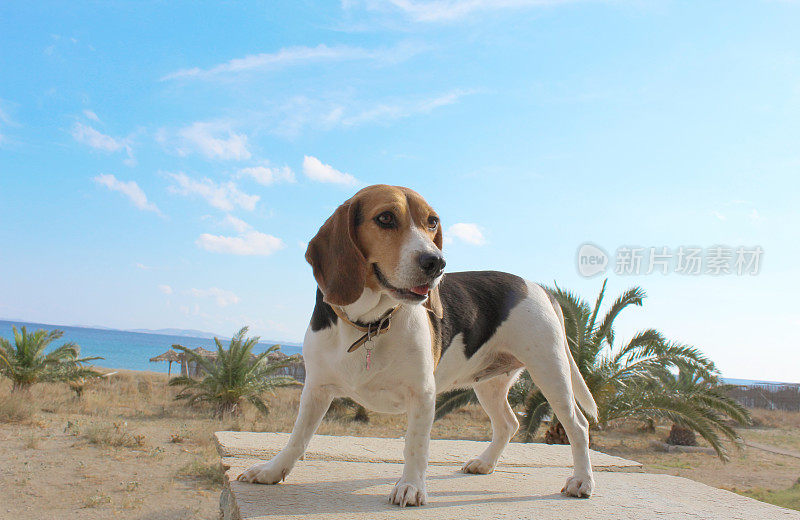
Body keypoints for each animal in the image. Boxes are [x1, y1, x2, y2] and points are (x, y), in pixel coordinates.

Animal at [239, 185, 600, 506]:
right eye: (385, 218)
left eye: (432, 222)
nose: (436, 262)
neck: (368, 325)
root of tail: (540, 288)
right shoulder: (315, 388)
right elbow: (298, 437)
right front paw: (272, 471)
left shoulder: (423, 394)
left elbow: (415, 445)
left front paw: (411, 487)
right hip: (490, 382)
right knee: (509, 424)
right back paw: (485, 463)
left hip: (550, 371)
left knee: (578, 425)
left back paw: (582, 481)